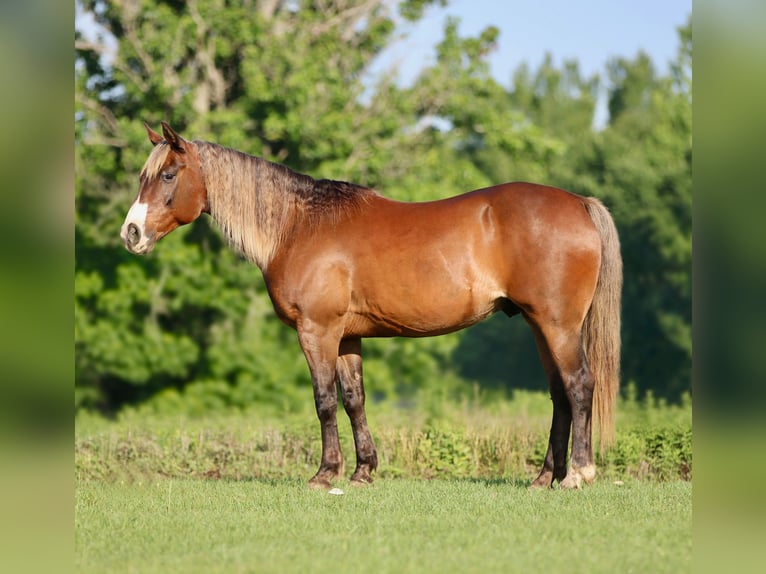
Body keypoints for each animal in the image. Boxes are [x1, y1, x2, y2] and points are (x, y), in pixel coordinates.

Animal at [121, 122, 622, 489]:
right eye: (145, 176)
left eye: (168, 175)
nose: (131, 233)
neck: (297, 225)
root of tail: (579, 203)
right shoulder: (347, 337)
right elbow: (354, 400)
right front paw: (363, 471)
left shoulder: (317, 331)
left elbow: (324, 401)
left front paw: (325, 474)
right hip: (541, 326)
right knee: (559, 393)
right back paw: (544, 477)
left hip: (557, 325)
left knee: (579, 385)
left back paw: (577, 474)